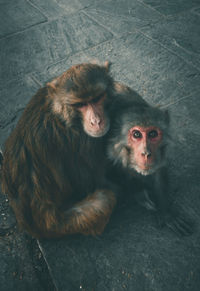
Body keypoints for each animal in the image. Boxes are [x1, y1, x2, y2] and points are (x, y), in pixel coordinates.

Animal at [1, 62, 117, 238]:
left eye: (97, 98)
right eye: (80, 105)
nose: (96, 121)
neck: (62, 114)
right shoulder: (80, 141)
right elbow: (95, 182)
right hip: (59, 226)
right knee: (105, 200)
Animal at [107, 88, 193, 236]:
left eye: (153, 134)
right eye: (136, 134)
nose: (146, 153)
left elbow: (159, 170)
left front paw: (166, 212)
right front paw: (139, 193)